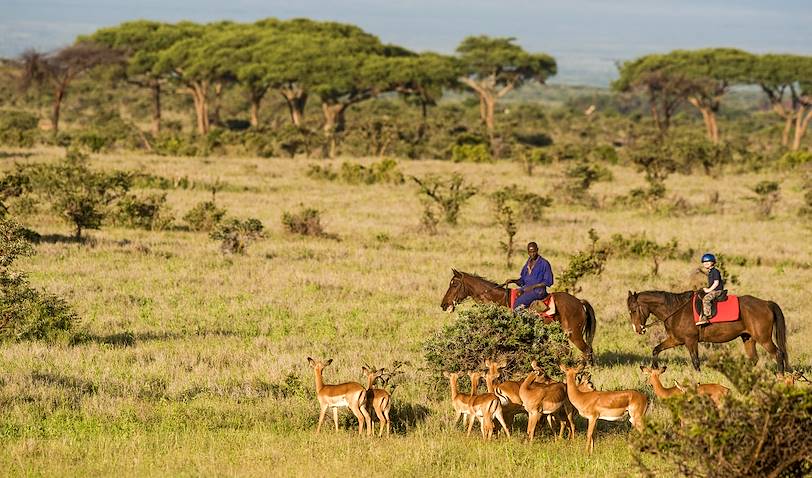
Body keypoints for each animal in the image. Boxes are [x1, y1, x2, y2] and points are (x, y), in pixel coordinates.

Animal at [440, 269, 597, 364]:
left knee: (587, 351)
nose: (444, 304)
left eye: (454, 284)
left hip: (574, 334)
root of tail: (579, 302)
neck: (501, 300)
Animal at [626, 290, 788, 373]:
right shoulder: (676, 340)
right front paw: (654, 369)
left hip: (763, 338)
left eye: (633, 310)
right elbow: (656, 349)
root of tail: (766, 303)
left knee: (778, 353)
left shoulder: (690, 341)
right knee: (754, 359)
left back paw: (780, 376)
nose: (638, 329)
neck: (676, 309)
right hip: (748, 338)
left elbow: (696, 361)